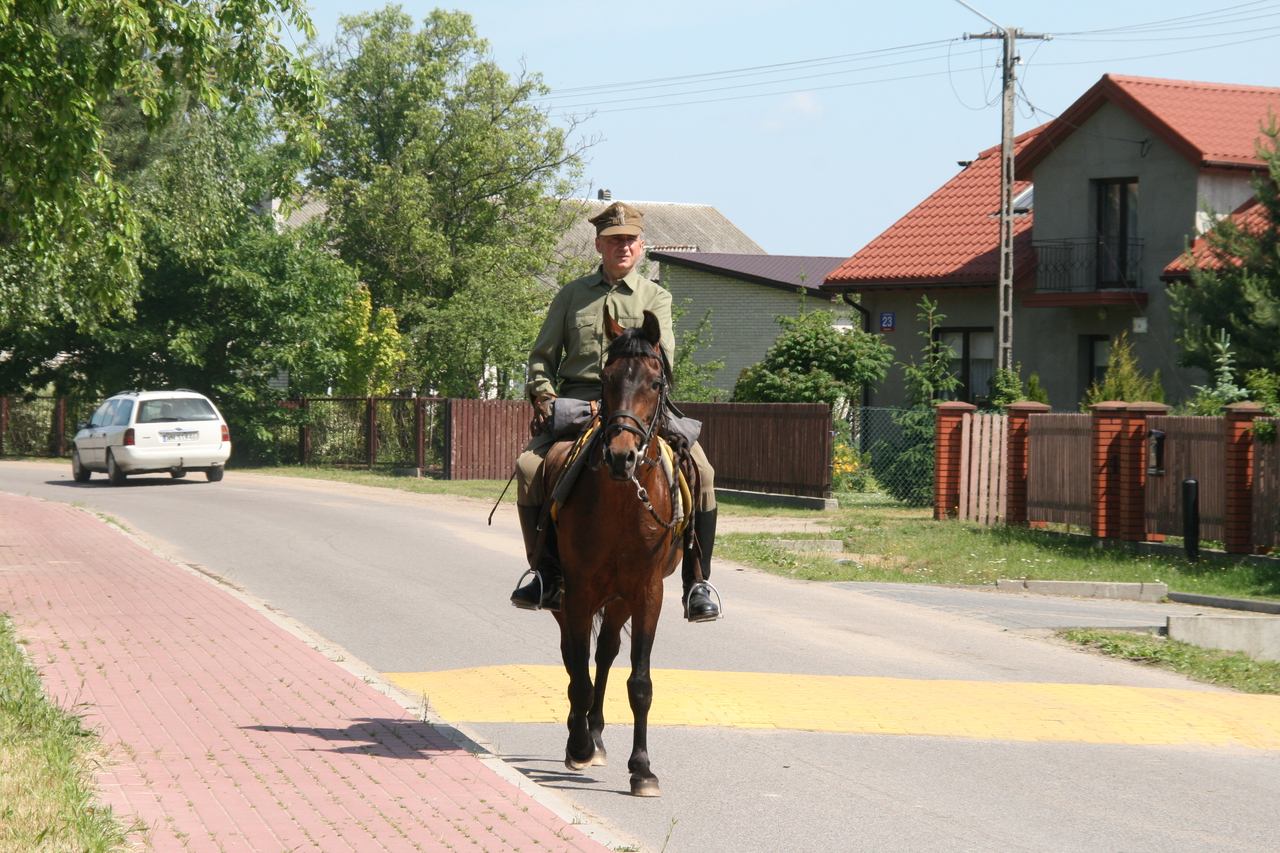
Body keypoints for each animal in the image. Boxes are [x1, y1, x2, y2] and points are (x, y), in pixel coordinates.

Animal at [550, 307, 691, 799]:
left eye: (655, 381)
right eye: (607, 378)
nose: (620, 456)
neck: (622, 504)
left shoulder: (647, 593)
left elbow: (639, 682)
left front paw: (642, 768)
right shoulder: (577, 591)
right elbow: (577, 673)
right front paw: (576, 746)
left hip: (619, 601)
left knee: (606, 653)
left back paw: (595, 732)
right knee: (575, 659)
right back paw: (581, 736)